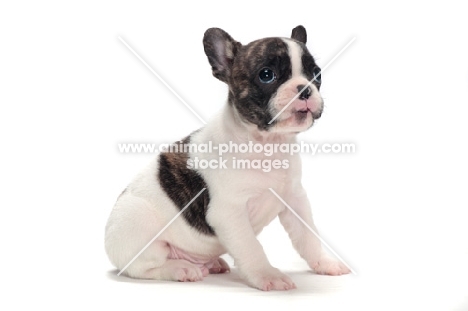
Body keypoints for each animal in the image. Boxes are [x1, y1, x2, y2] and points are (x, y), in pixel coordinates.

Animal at [105, 25, 348, 292]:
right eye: (266, 75)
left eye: (316, 74)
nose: (305, 88)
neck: (266, 144)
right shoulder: (229, 213)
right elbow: (252, 248)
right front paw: (267, 275)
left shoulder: (295, 200)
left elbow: (308, 236)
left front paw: (324, 262)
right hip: (138, 223)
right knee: (144, 268)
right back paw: (180, 269)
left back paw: (212, 263)